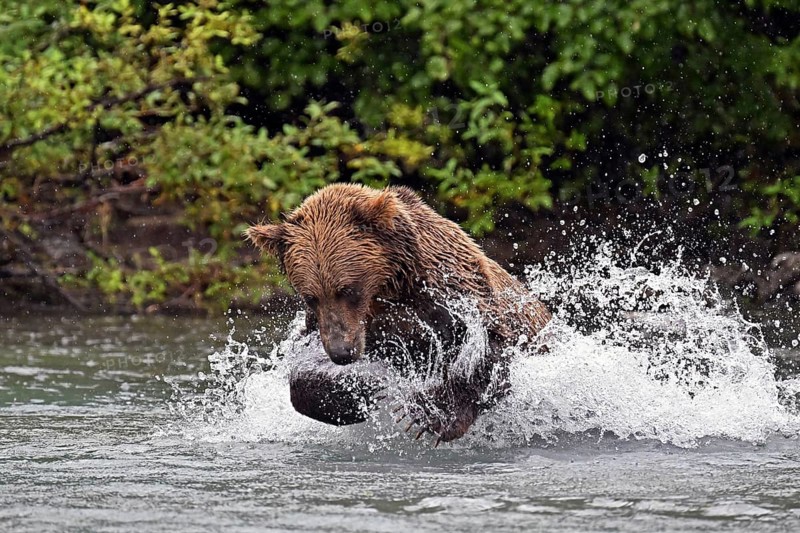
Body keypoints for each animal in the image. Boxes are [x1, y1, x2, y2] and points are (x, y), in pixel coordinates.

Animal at [246, 183, 550, 443]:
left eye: (348, 290)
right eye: (310, 297)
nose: (342, 352)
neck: (388, 289)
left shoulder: (456, 297)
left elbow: (489, 352)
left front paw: (425, 413)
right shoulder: (347, 326)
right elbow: (306, 363)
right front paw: (354, 392)